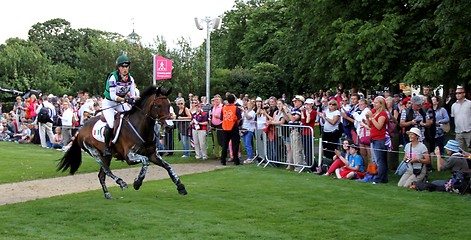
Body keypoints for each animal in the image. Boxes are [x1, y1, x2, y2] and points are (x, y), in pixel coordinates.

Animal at [56, 86, 186, 199]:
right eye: (158, 105)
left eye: (169, 105)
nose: (170, 126)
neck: (140, 127)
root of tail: (80, 130)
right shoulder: (130, 157)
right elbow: (145, 162)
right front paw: (137, 183)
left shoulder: (153, 154)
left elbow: (168, 167)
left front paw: (180, 186)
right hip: (96, 154)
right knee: (106, 171)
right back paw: (121, 183)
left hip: (106, 156)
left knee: (101, 176)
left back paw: (108, 195)